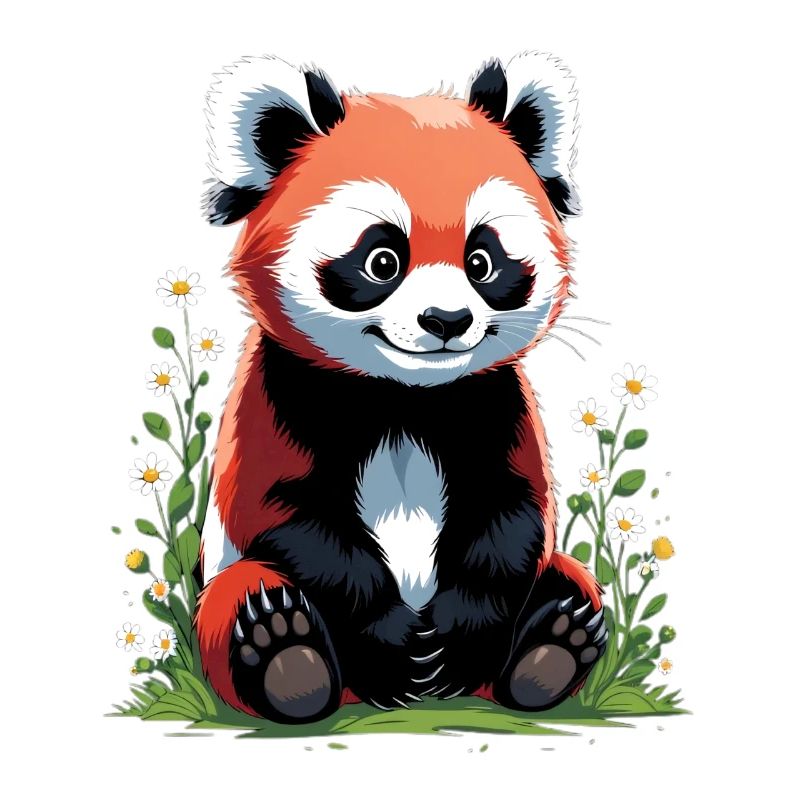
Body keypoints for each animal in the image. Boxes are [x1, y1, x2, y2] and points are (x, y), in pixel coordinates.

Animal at [194, 52, 607, 723]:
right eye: (382, 260)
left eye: (482, 261)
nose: (446, 321)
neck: (405, 396)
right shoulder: (276, 400)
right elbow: (287, 515)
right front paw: (388, 644)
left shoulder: (495, 405)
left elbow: (512, 515)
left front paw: (458, 639)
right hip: (230, 591)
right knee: (241, 594)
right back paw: (287, 657)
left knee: (567, 574)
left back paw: (550, 646)